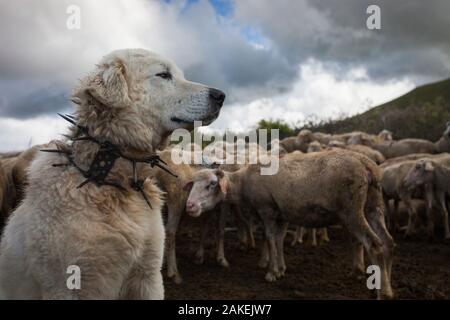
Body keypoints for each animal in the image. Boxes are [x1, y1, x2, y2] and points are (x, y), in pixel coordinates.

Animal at [183, 151, 394, 300]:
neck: (243, 183)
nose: (190, 206)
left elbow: (269, 238)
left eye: (211, 184)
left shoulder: (267, 209)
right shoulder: (282, 214)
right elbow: (279, 240)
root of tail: (366, 164)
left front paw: (271, 273)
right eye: (193, 184)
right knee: (387, 242)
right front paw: (281, 268)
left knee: (375, 245)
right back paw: (387, 286)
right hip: (373, 205)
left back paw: (382, 292)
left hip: (351, 209)